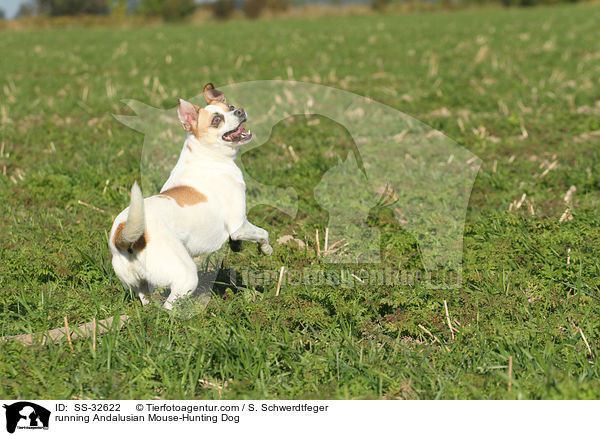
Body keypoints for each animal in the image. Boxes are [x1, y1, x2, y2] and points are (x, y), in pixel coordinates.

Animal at [109, 83, 274, 310]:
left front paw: (237, 246)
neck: (207, 155)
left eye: (230, 107)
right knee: (168, 308)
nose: (239, 111)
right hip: (185, 276)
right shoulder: (239, 225)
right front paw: (266, 249)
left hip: (142, 284)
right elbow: (263, 233)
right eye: (216, 120)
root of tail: (123, 234)